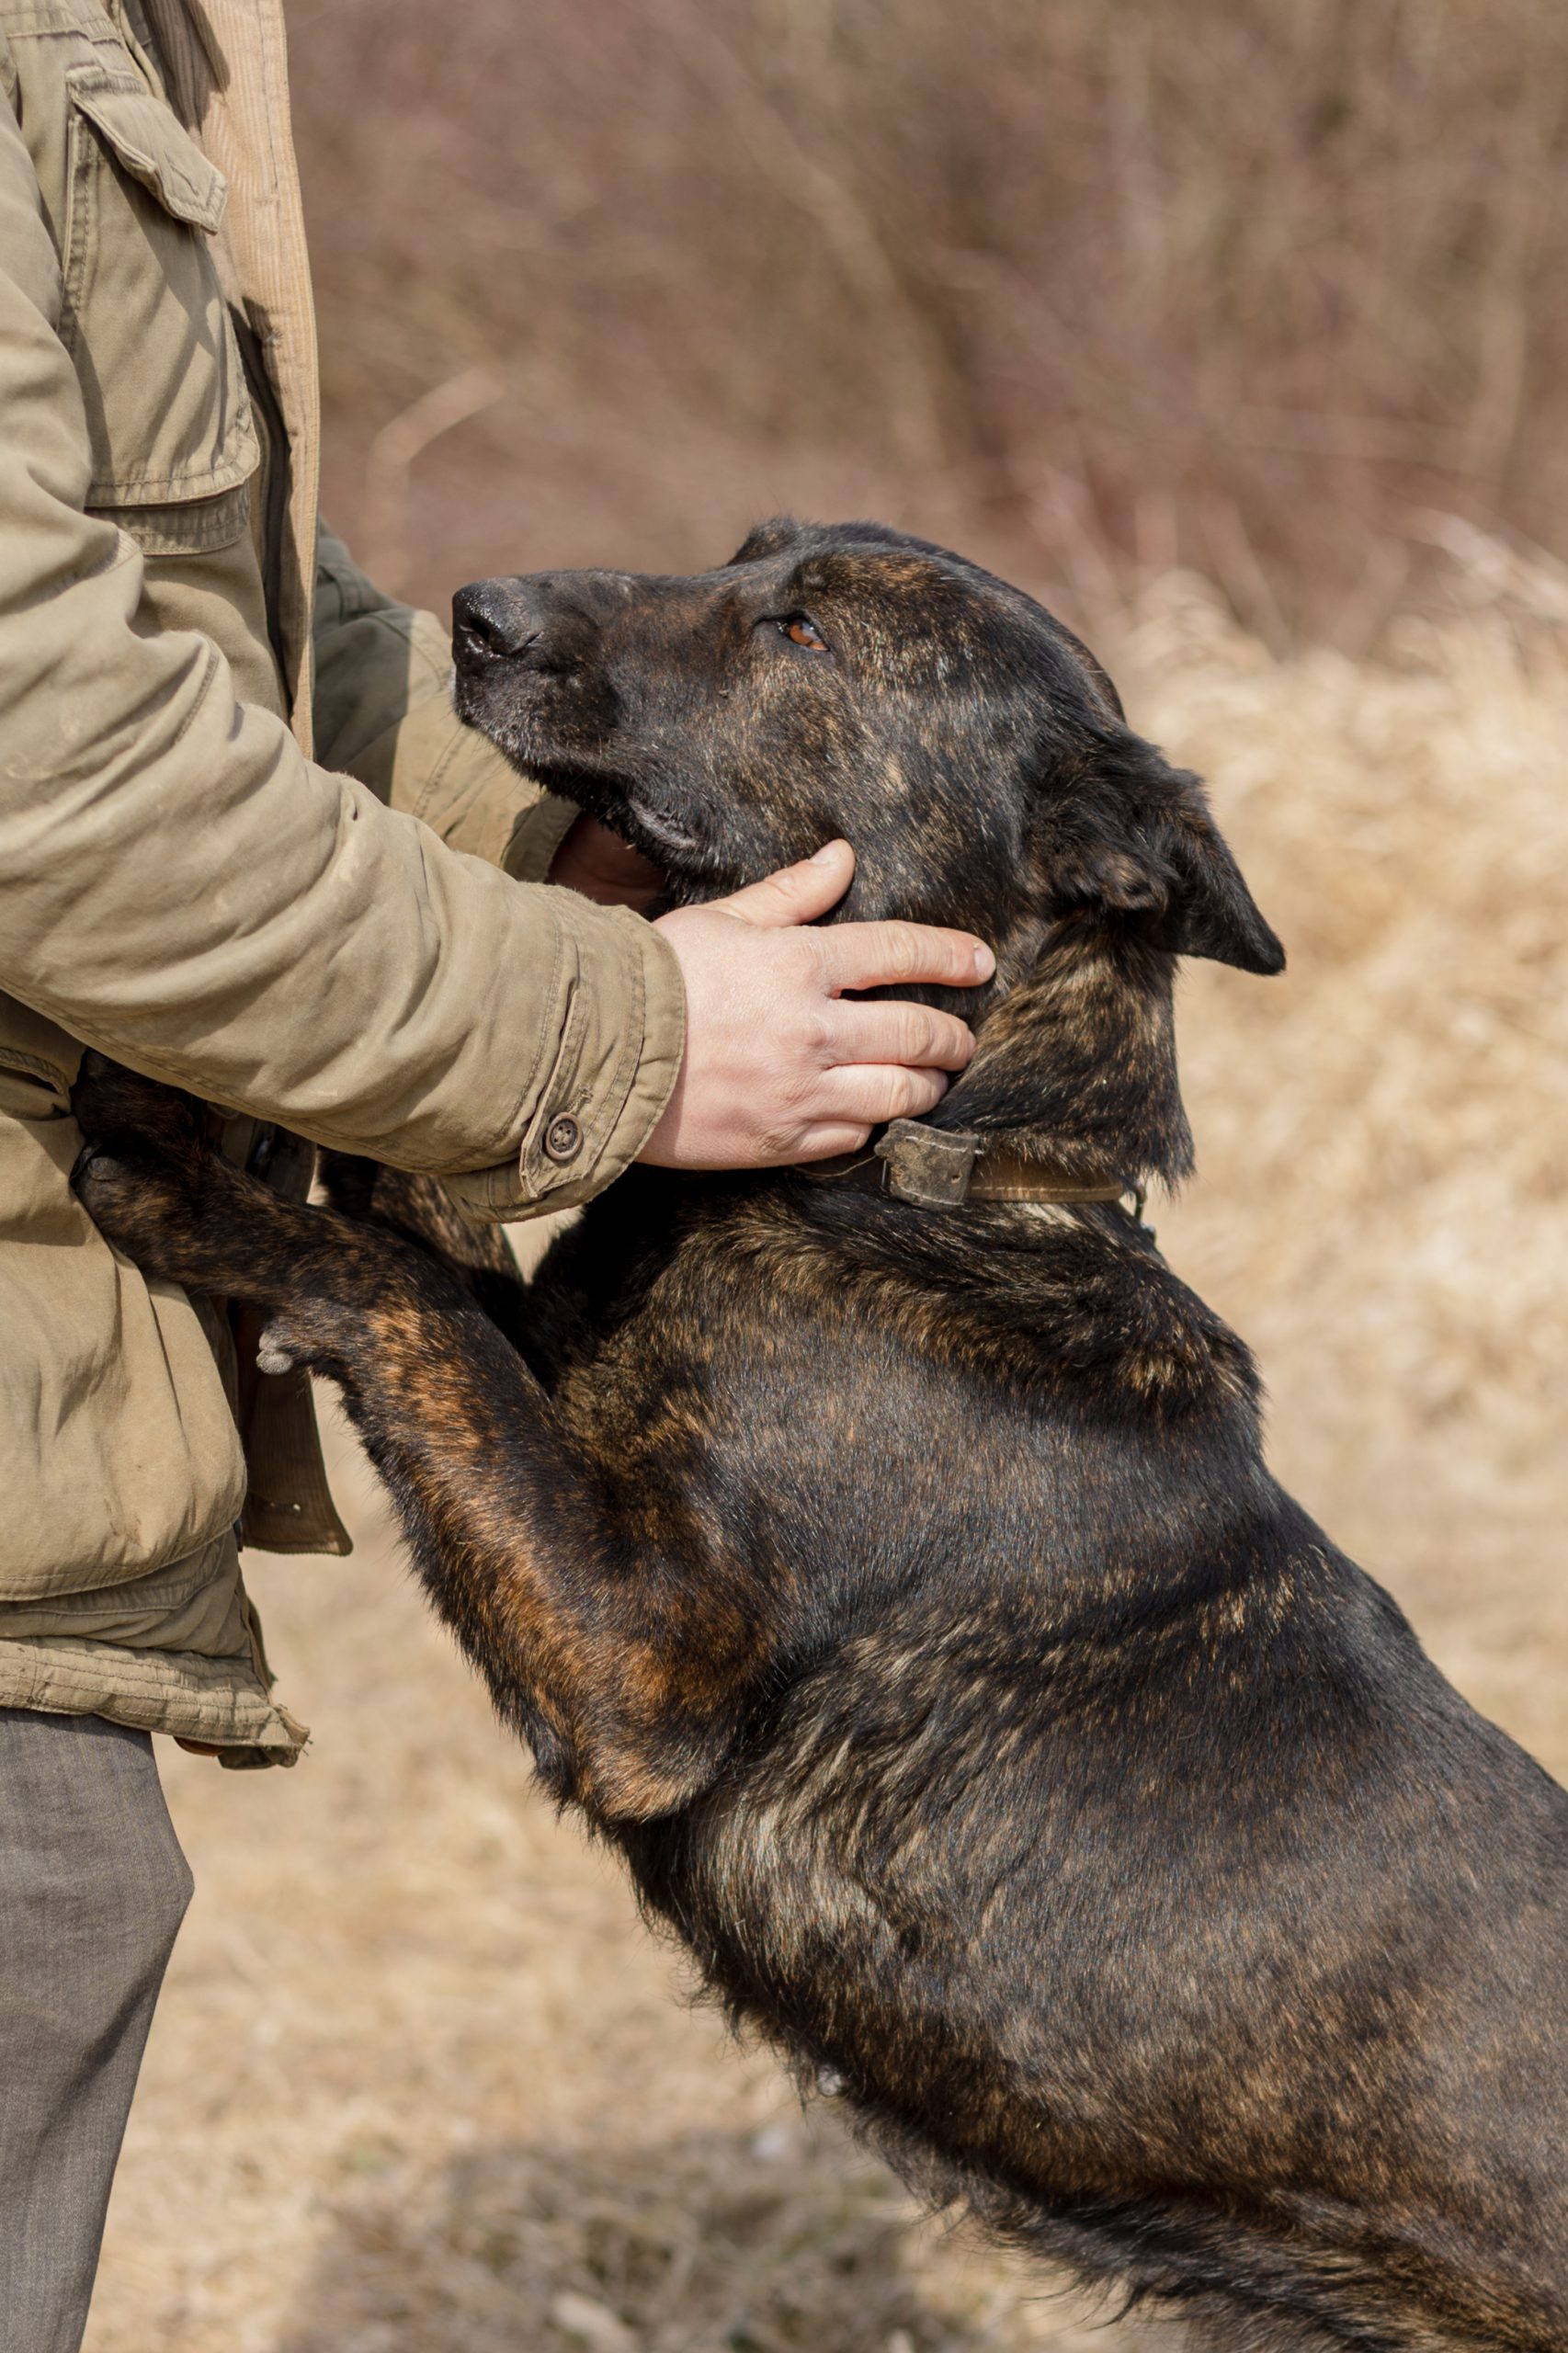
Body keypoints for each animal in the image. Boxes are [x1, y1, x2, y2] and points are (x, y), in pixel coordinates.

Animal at [73, 519, 1568, 2351]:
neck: (921, 1184)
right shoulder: (554, 1408)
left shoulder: (643, 1660)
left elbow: (401, 1288)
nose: (479, 616)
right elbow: (438, 1243)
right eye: (743, 559)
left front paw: (182, 1163)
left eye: (801, 632)